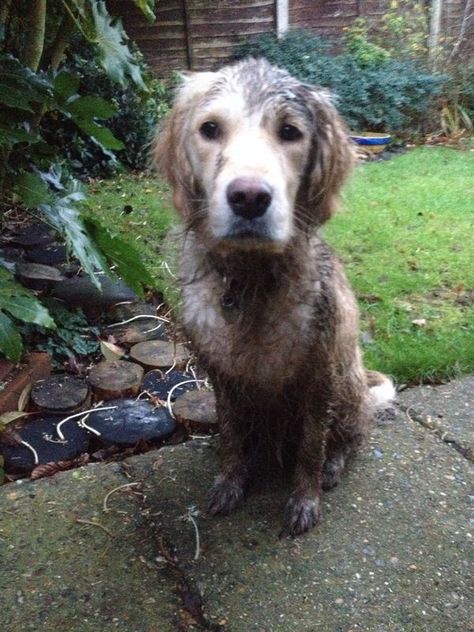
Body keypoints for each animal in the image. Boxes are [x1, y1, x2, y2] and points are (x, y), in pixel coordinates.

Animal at [154, 58, 394, 532]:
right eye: (210, 129)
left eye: (289, 132)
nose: (249, 198)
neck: (250, 281)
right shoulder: (223, 378)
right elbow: (229, 438)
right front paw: (230, 481)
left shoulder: (319, 378)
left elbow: (311, 447)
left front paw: (305, 499)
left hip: (348, 385)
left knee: (350, 436)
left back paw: (334, 466)